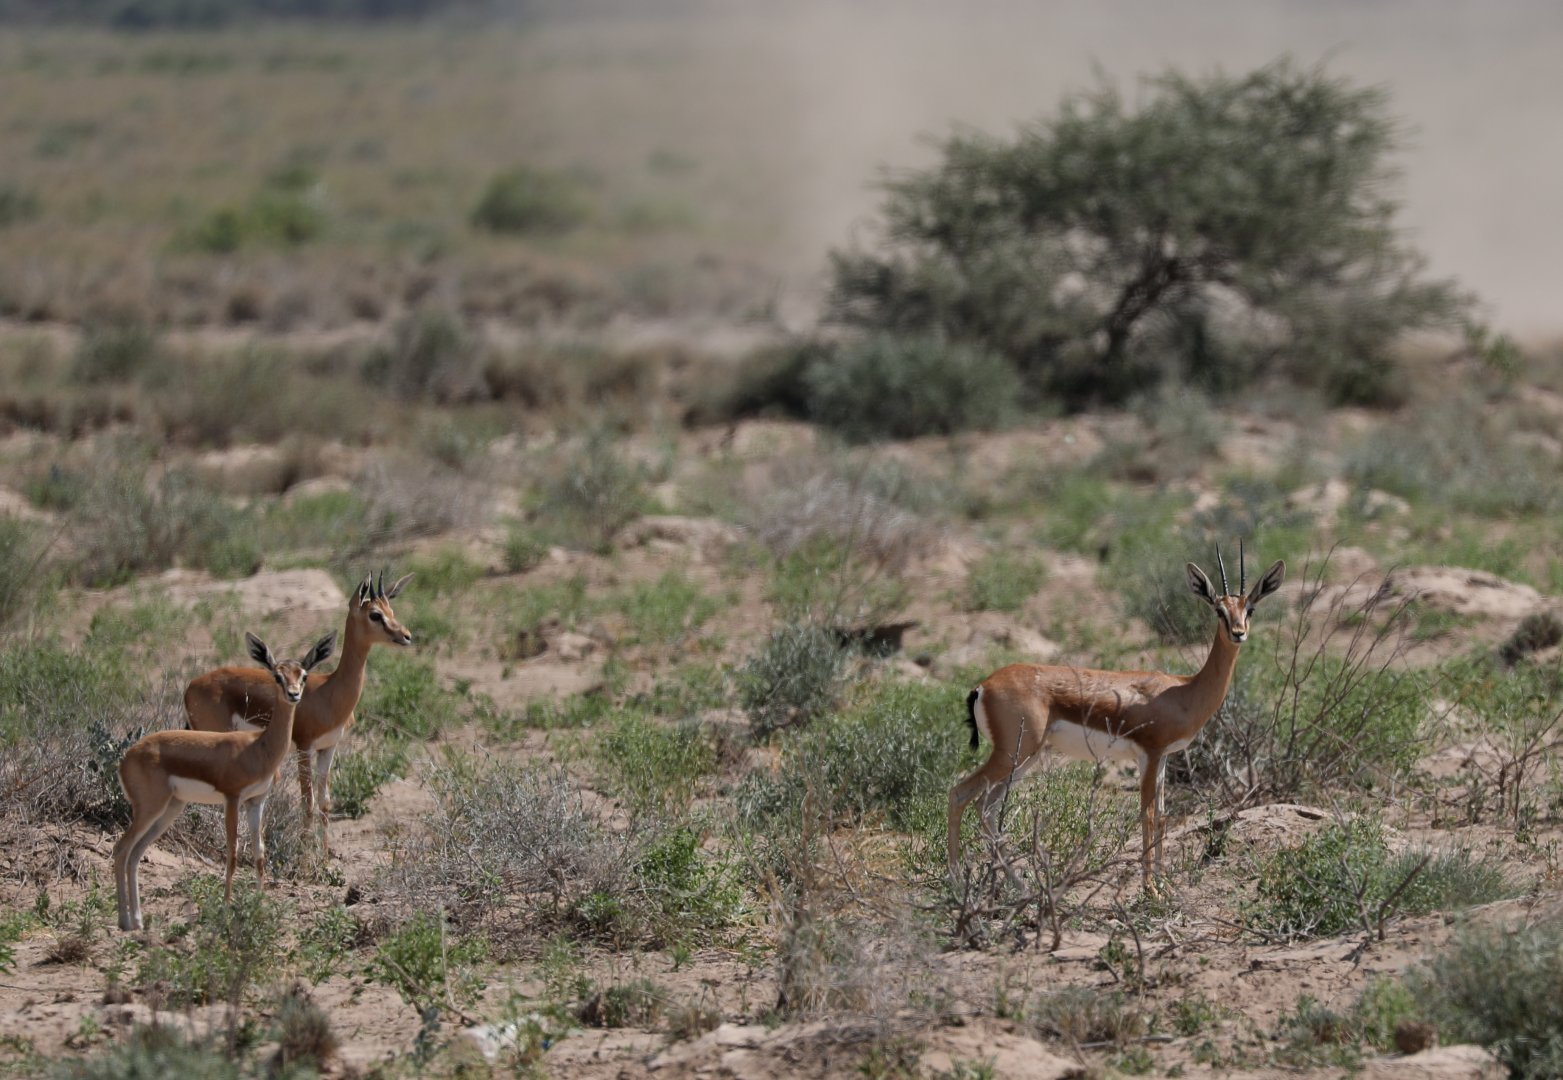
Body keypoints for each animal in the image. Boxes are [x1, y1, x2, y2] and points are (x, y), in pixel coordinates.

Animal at [115, 632, 335, 932]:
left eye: (303, 675)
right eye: (277, 676)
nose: (294, 695)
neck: (258, 747)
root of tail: (126, 757)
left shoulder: (256, 801)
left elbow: (259, 852)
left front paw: (259, 907)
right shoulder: (232, 799)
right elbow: (232, 853)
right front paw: (227, 907)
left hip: (170, 809)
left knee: (136, 853)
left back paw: (137, 920)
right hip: (149, 809)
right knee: (121, 849)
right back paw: (125, 921)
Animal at [184, 572, 413, 856]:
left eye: (391, 610)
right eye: (375, 614)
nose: (406, 635)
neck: (329, 691)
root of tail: (191, 686)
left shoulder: (328, 747)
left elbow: (325, 801)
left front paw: (325, 854)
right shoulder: (305, 747)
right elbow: (308, 801)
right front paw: (305, 854)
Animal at [948, 544, 1285, 893]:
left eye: (1250, 609)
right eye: (1219, 610)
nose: (1238, 633)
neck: (1183, 690)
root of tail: (982, 686)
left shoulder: (1163, 758)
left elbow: (1161, 814)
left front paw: (1163, 883)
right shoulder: (1149, 754)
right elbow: (1146, 814)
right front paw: (1151, 890)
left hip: (1025, 758)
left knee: (986, 807)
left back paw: (1017, 886)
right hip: (1011, 755)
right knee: (959, 794)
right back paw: (958, 883)